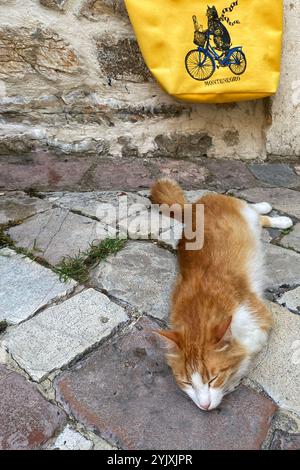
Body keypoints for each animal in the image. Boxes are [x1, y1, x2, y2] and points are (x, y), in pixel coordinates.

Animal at [151, 180, 292, 412]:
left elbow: (246, 354)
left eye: (213, 379)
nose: (204, 406)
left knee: (257, 213)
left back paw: (276, 214)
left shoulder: (260, 319)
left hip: (246, 215)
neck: (200, 310)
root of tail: (192, 208)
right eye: (187, 383)